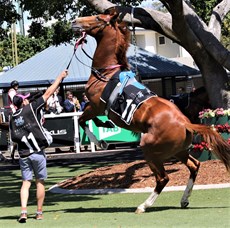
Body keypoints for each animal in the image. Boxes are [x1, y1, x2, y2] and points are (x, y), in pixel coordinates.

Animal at [71, 9, 229, 214]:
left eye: (98, 18)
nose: (75, 22)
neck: (106, 74)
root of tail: (185, 122)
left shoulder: (95, 105)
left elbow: (82, 120)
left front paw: (101, 141)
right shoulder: (95, 107)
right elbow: (85, 121)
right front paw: (103, 129)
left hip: (151, 149)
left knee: (163, 178)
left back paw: (143, 206)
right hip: (177, 150)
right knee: (194, 166)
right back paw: (184, 199)